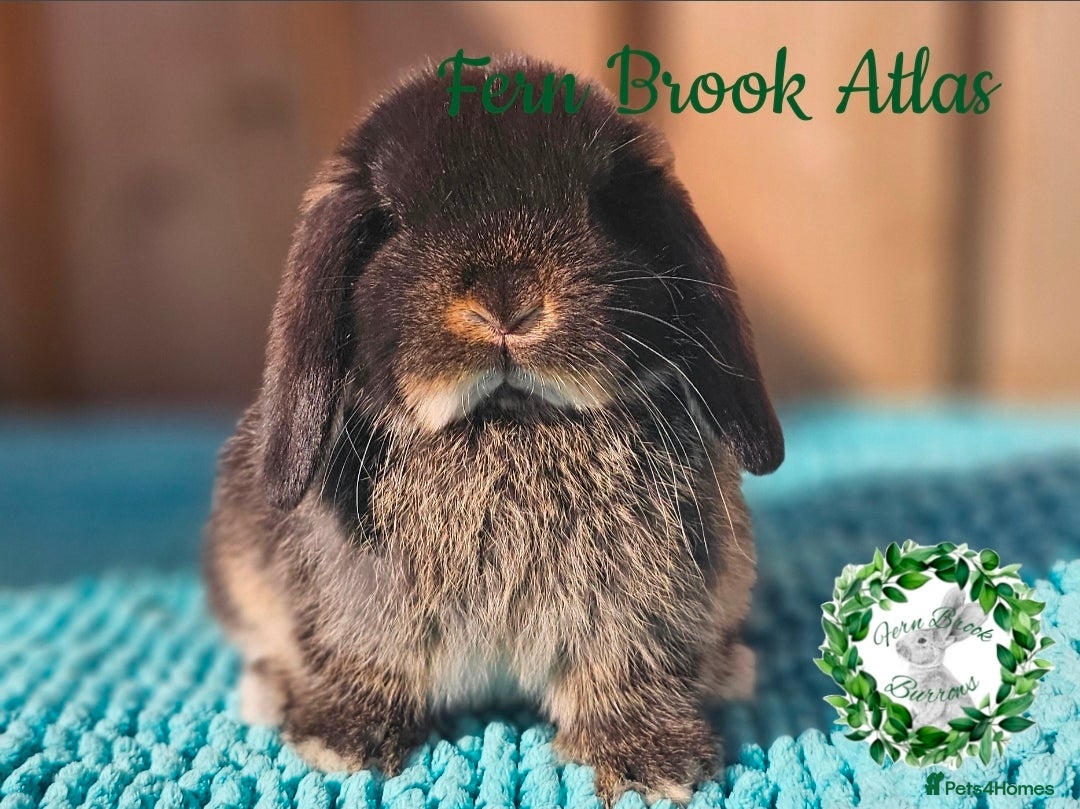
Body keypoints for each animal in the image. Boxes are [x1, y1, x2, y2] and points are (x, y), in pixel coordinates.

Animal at [203, 54, 783, 805]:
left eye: (604, 208)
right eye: (390, 223)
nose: (506, 299)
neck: (506, 422)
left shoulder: (639, 611)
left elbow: (627, 672)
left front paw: (651, 762)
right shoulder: (359, 606)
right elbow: (365, 662)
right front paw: (338, 740)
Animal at [895, 587, 990, 727]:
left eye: (922, 640)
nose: (897, 646)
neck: (927, 669)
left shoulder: (936, 696)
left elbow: (930, 713)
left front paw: (915, 726)